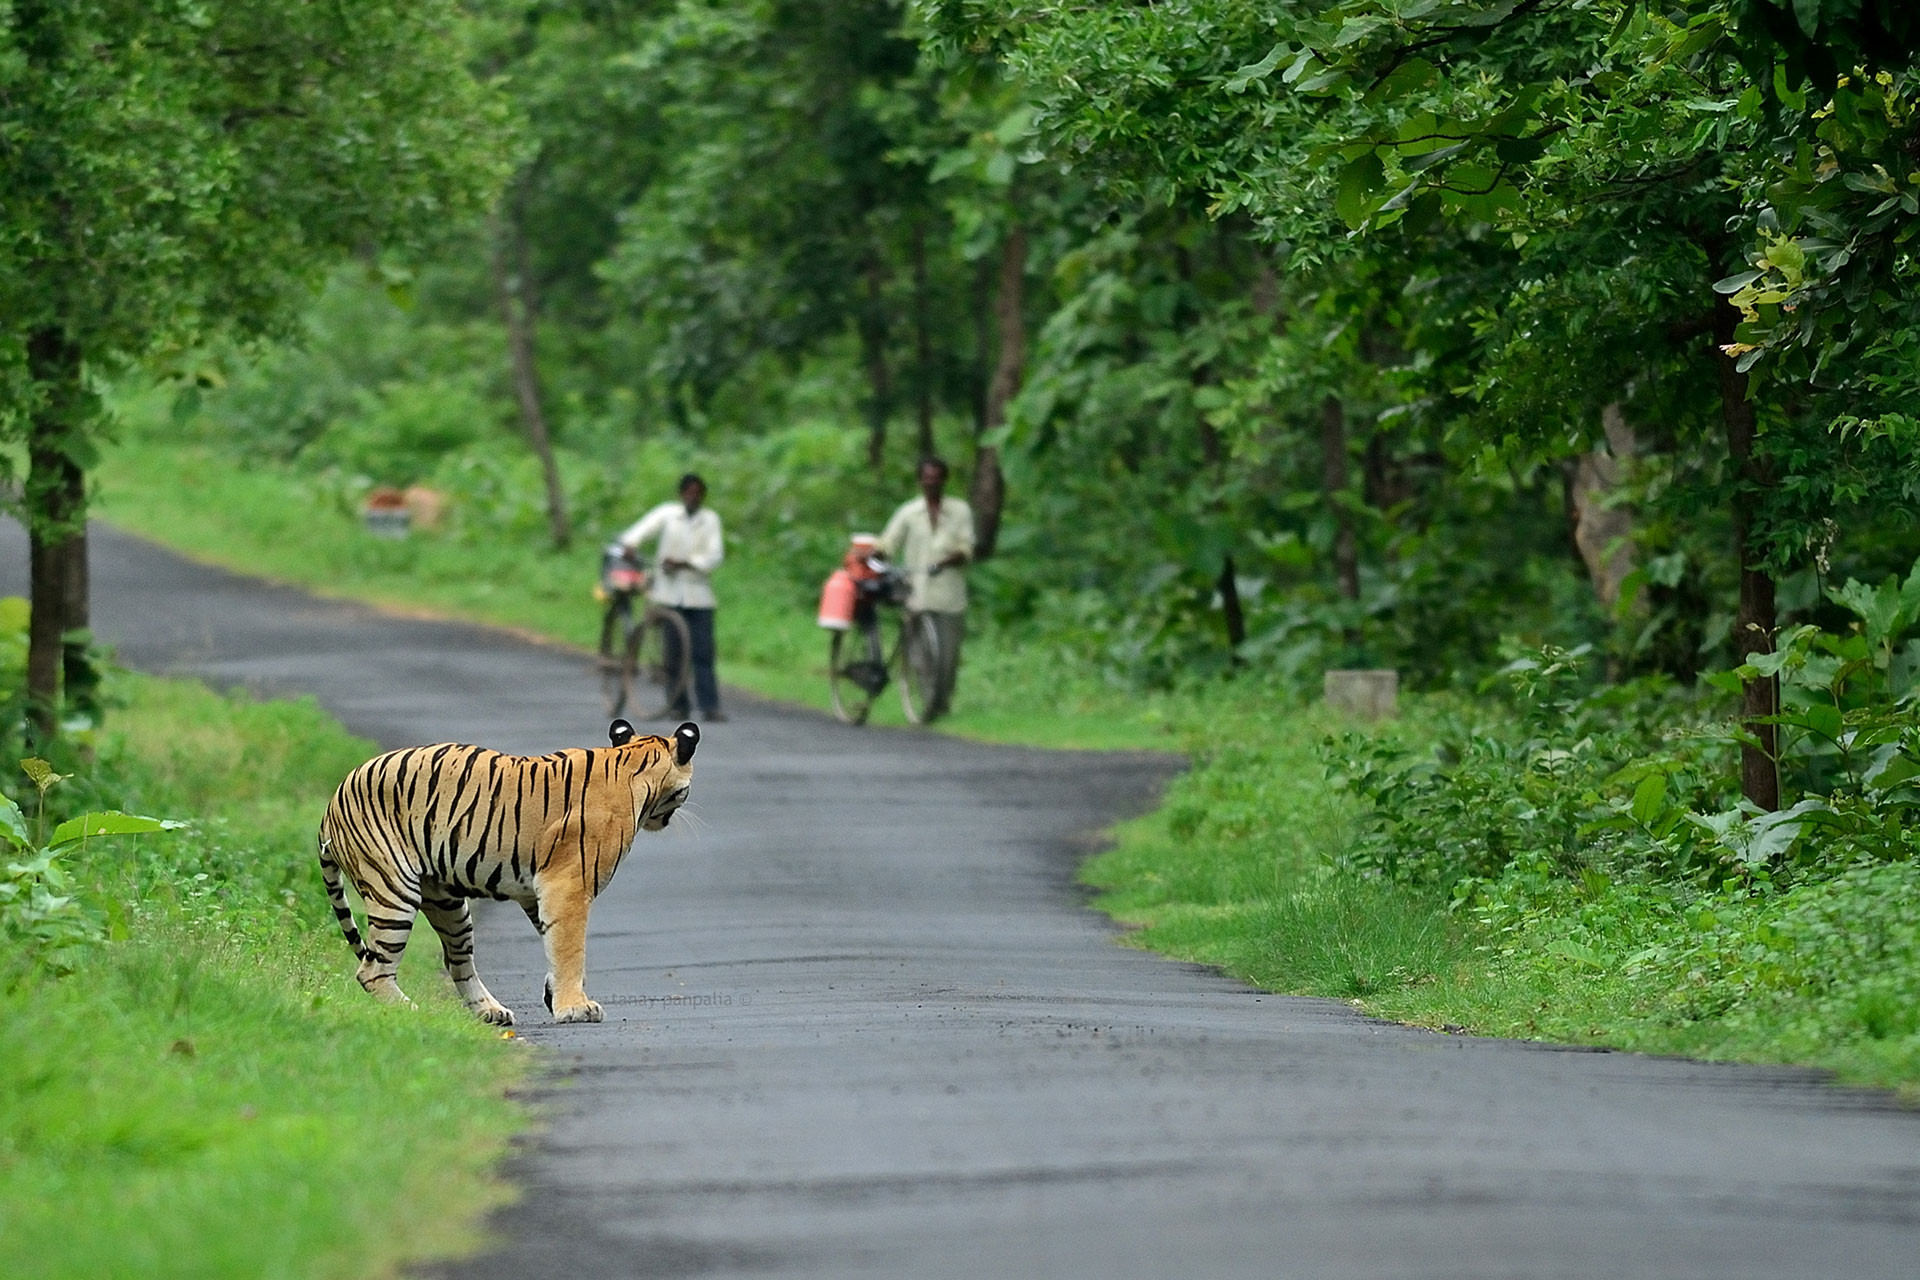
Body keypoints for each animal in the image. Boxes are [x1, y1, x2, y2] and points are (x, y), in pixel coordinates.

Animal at [316, 718, 699, 1025]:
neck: (634, 761)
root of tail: (331, 803)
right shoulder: (567, 885)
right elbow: (570, 948)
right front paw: (575, 1008)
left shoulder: (539, 892)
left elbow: (555, 944)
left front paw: (555, 994)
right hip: (394, 890)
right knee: (372, 971)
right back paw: (412, 1013)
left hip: (448, 904)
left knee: (458, 961)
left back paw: (490, 1011)